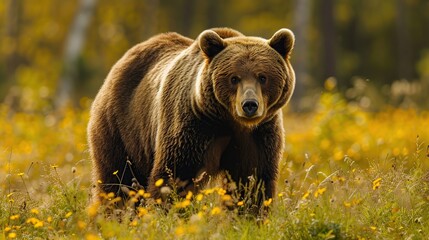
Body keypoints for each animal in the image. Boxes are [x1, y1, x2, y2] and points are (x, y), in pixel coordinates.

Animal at [87, 28, 294, 211]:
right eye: (234, 78)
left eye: (262, 77)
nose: (249, 105)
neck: (229, 121)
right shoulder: (193, 127)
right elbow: (175, 175)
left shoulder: (259, 134)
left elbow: (251, 180)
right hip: (122, 126)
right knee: (118, 178)